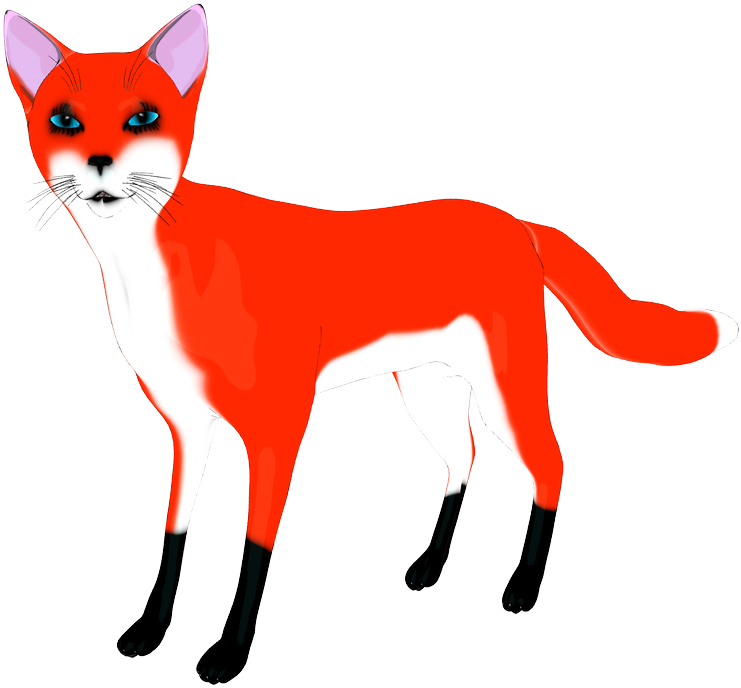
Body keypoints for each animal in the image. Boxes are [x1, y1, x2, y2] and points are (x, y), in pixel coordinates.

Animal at [4, 3, 738, 684]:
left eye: (142, 119)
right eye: (64, 120)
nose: (99, 163)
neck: (155, 273)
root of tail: (513, 220)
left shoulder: (277, 422)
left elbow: (254, 549)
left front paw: (228, 655)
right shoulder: (187, 425)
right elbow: (175, 535)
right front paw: (150, 633)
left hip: (505, 391)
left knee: (551, 466)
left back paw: (524, 587)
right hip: (427, 395)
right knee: (464, 460)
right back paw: (433, 566)